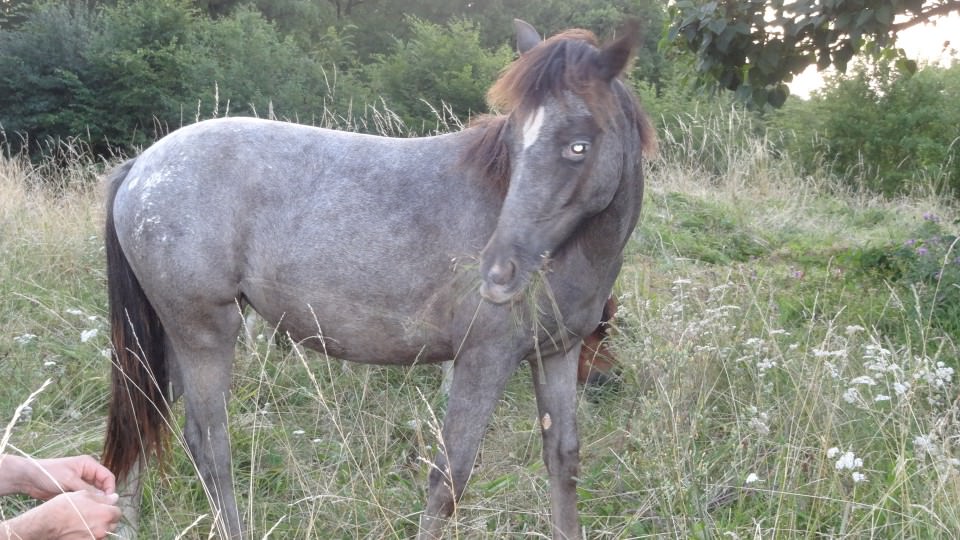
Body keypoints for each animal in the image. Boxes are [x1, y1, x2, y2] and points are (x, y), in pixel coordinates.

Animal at [105, 17, 656, 540]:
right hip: (205, 335)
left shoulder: (555, 354)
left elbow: (563, 460)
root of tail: (141, 167)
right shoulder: (484, 359)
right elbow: (450, 477)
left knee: (143, 414)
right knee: (208, 444)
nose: (498, 272)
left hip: (174, 340)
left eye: (578, 146)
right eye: (517, 140)